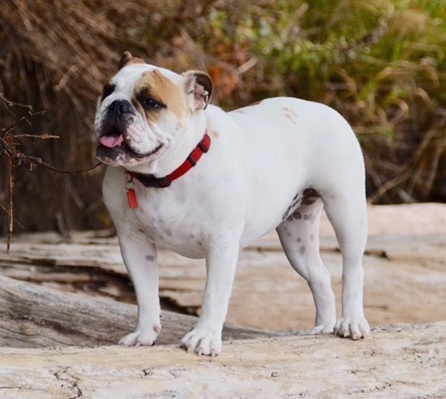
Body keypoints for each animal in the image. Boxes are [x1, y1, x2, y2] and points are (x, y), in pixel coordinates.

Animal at [96, 50, 372, 356]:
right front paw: (144, 334)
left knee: (353, 269)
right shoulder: (134, 242)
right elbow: (146, 294)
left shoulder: (221, 243)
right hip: (296, 238)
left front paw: (204, 337)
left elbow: (213, 294)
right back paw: (323, 327)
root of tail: (326, 109)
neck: (165, 176)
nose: (117, 105)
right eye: (107, 90)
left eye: (151, 102)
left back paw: (352, 322)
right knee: (319, 274)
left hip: (347, 212)